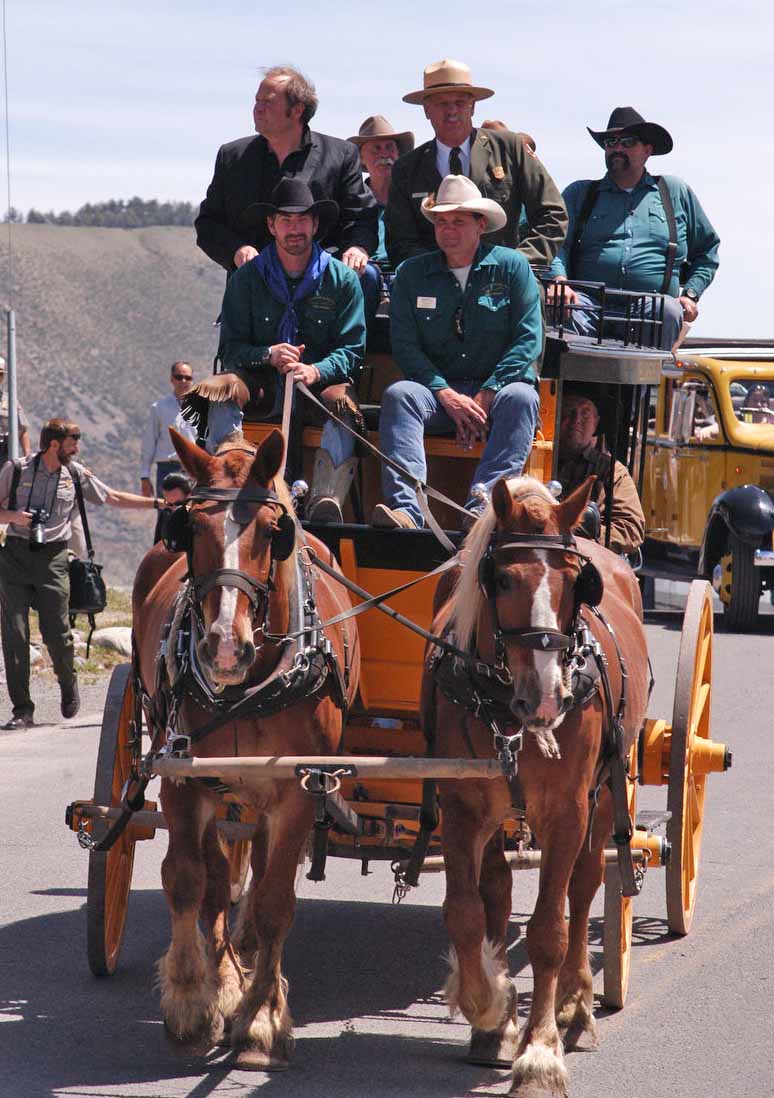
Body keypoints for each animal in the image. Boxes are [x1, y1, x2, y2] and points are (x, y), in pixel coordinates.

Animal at [132, 426, 360, 1062]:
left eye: (269, 531)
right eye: (189, 527)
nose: (224, 648)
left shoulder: (299, 790)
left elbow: (275, 900)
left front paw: (260, 1013)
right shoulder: (184, 775)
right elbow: (187, 880)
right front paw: (194, 996)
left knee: (254, 877)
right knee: (216, 883)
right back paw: (226, 972)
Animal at [425, 476, 649, 1093]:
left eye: (576, 583)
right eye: (501, 578)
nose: (547, 698)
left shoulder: (568, 811)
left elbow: (551, 928)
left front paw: (541, 1052)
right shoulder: (462, 806)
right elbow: (465, 911)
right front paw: (489, 1006)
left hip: (605, 797)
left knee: (586, 884)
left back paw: (576, 1005)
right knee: (498, 891)